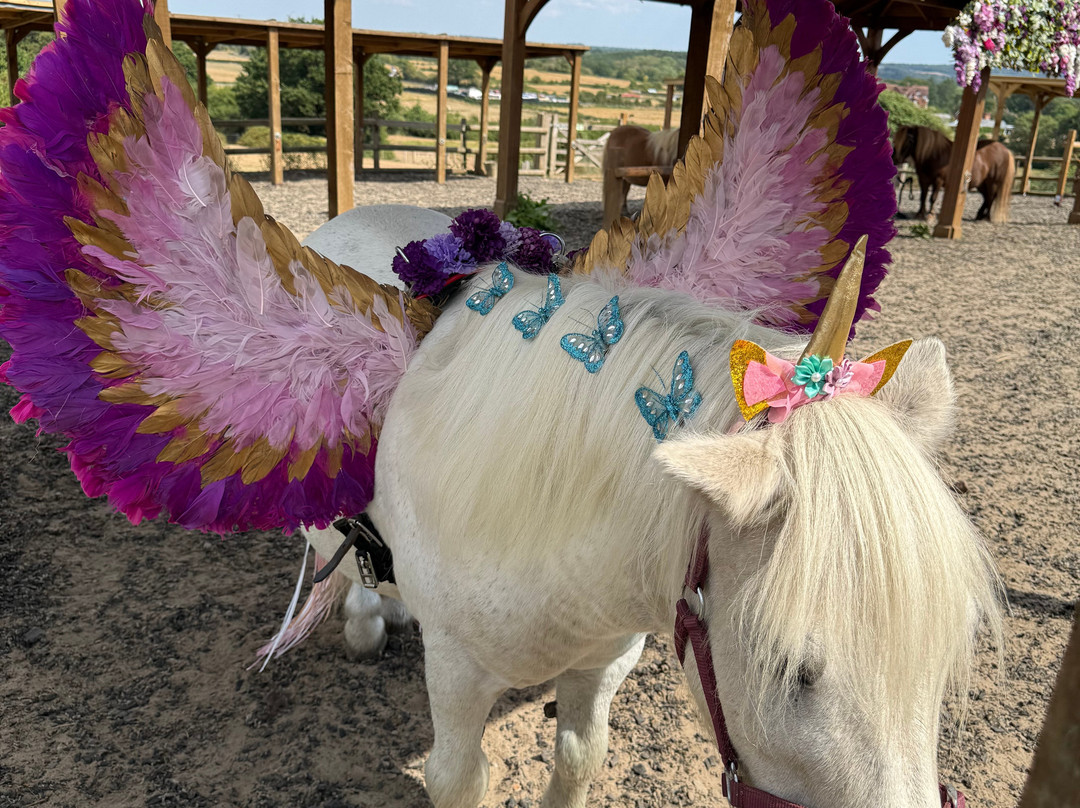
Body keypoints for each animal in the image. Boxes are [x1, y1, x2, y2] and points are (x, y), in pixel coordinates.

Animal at [299, 265, 1003, 808]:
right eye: (794, 672)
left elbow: (579, 758)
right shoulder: (456, 674)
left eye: (951, 642)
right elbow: (457, 780)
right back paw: (365, 615)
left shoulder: (603, 661)